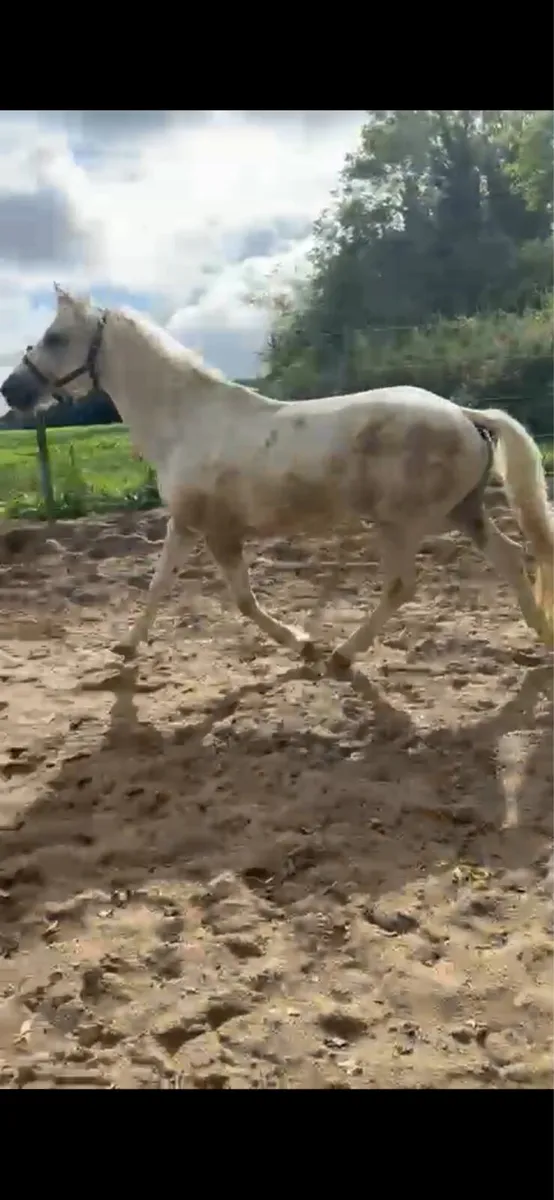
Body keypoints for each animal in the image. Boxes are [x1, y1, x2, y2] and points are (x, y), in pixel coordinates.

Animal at [1, 283, 553, 670]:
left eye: (55, 337)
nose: (12, 390)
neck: (186, 422)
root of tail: (464, 414)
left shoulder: (221, 533)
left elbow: (244, 601)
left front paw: (304, 645)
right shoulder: (184, 523)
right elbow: (158, 585)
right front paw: (126, 647)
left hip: (404, 523)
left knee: (401, 586)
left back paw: (341, 655)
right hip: (463, 510)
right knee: (509, 556)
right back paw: (541, 634)